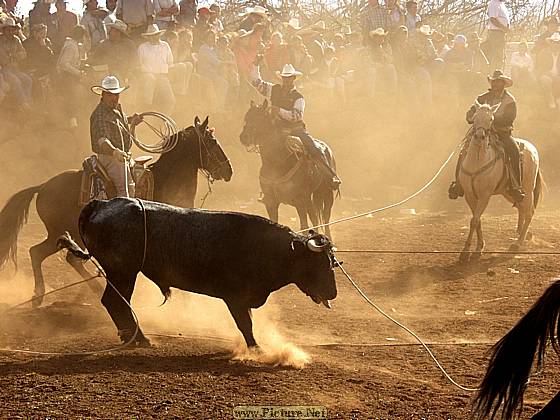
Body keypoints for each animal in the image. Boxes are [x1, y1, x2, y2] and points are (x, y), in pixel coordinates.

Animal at [0, 115, 232, 306]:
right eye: (212, 142)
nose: (229, 170)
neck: (165, 180)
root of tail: (43, 186)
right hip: (58, 231)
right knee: (38, 253)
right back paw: (41, 295)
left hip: (69, 233)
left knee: (67, 258)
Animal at [58, 199, 336, 346]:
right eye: (317, 265)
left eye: (331, 262)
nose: (333, 293)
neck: (264, 247)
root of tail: (104, 203)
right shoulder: (234, 298)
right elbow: (245, 325)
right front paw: (256, 349)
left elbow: (248, 323)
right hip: (123, 272)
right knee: (115, 302)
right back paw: (139, 338)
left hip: (123, 273)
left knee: (116, 303)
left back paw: (134, 337)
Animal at [460, 101, 544, 262]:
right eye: (474, 117)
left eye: (491, 119)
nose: (479, 136)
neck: (477, 162)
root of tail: (532, 148)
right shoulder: (469, 195)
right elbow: (477, 220)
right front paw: (478, 248)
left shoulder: (484, 196)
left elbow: (474, 220)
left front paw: (466, 252)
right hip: (510, 192)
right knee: (521, 209)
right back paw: (521, 234)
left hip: (528, 189)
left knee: (529, 212)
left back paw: (517, 243)